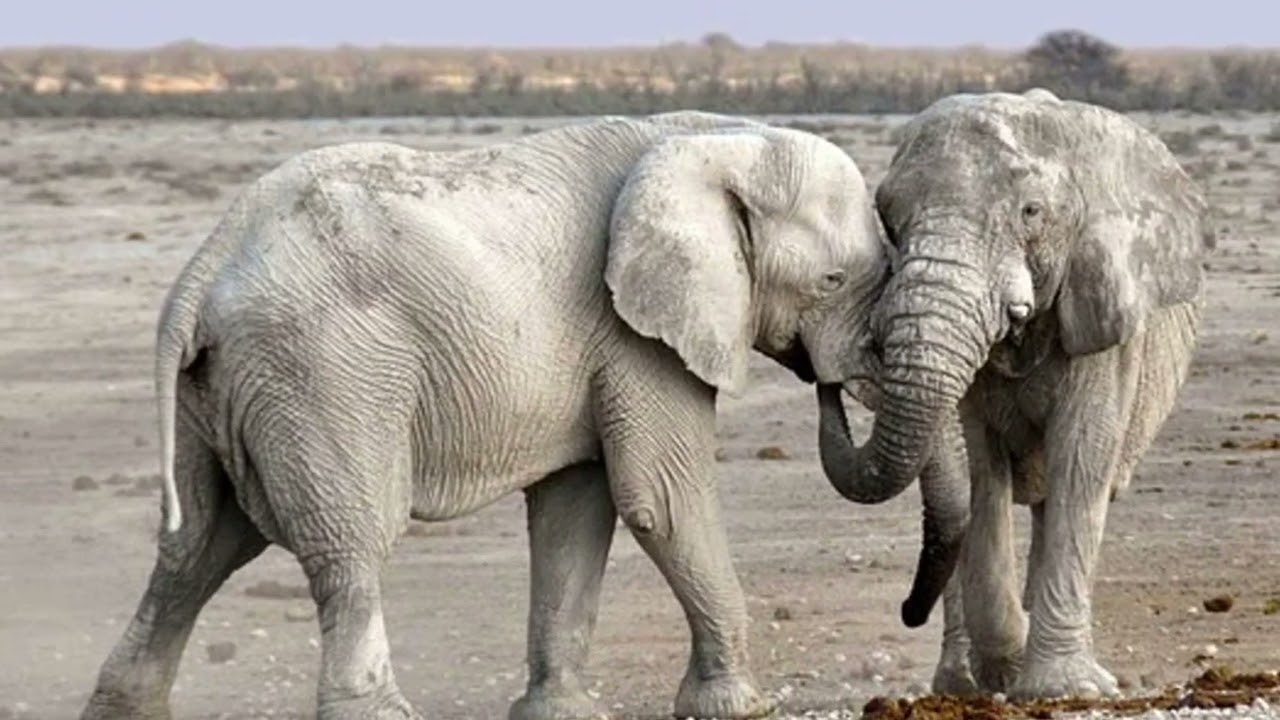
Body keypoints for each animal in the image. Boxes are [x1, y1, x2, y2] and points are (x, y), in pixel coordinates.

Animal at [81, 110, 903, 720]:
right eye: (832, 281)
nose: (832, 382)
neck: (715, 139)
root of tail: (203, 268)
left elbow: (577, 509)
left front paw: (560, 714)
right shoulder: (634, 334)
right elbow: (660, 499)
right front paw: (737, 707)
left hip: (224, 388)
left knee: (198, 546)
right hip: (324, 372)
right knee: (350, 544)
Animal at [816, 89, 1213, 699]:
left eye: (1031, 212)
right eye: (888, 217)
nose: (828, 381)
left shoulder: (1103, 313)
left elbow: (1083, 457)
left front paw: (1064, 689)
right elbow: (981, 469)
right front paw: (1008, 667)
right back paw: (961, 683)